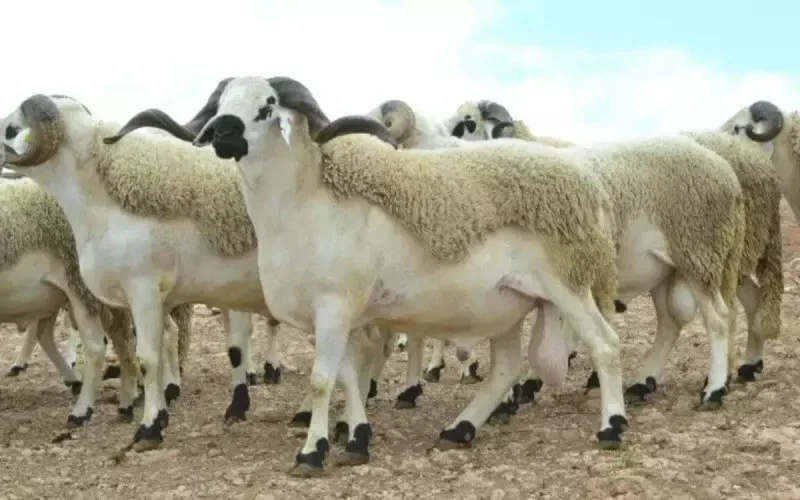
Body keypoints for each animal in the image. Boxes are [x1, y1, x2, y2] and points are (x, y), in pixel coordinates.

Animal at [110, 75, 632, 477]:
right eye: (221, 104)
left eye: (268, 105)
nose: (222, 133)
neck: (305, 201)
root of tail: (588, 185)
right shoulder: (342, 314)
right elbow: (346, 376)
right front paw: (355, 440)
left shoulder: (334, 305)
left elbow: (322, 380)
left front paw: (312, 452)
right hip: (507, 303)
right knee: (505, 367)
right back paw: (459, 429)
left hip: (568, 284)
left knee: (605, 345)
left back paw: (611, 427)